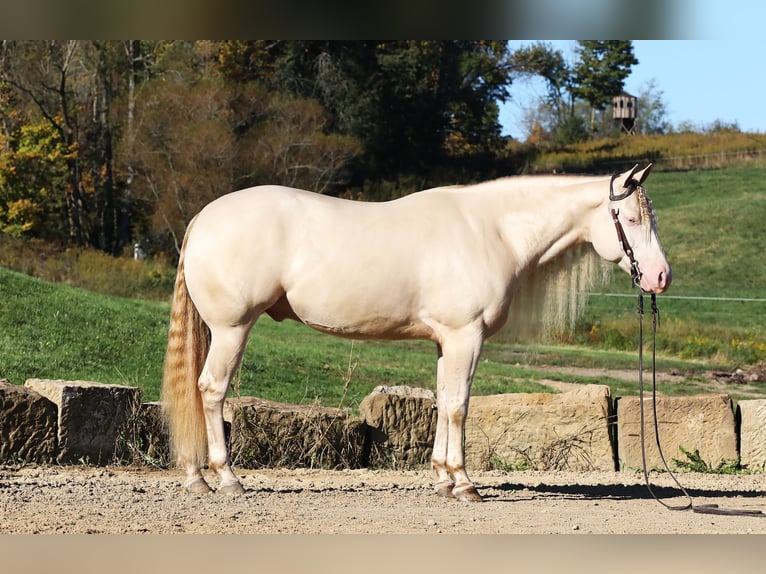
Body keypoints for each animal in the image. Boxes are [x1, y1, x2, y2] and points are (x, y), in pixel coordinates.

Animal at [162, 163, 672, 504]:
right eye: (630, 220)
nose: (661, 277)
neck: (492, 231)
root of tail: (203, 218)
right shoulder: (466, 337)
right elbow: (460, 405)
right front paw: (464, 485)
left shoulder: (447, 342)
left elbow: (444, 402)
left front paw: (444, 478)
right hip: (232, 329)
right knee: (211, 390)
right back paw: (226, 478)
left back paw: (197, 477)